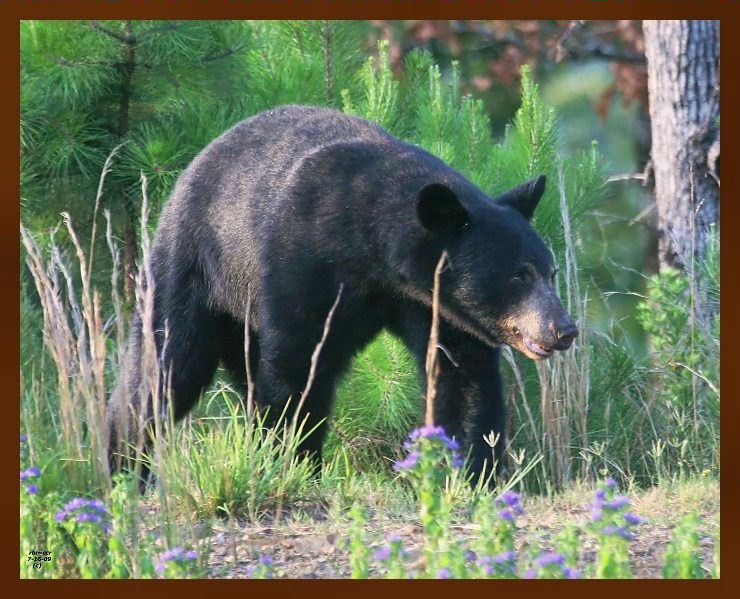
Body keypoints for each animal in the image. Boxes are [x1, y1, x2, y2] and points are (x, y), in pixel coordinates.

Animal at [108, 105, 580, 486]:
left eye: (550, 271)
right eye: (519, 275)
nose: (564, 328)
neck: (374, 247)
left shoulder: (437, 305)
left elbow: (463, 377)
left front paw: (474, 473)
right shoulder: (304, 263)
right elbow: (299, 363)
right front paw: (293, 459)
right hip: (194, 268)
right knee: (164, 364)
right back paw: (122, 463)